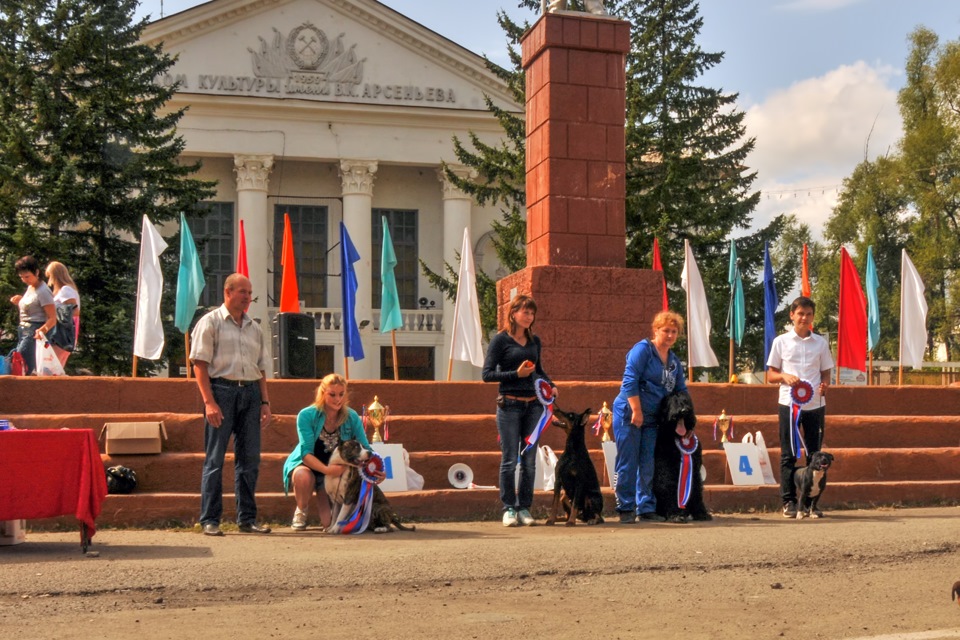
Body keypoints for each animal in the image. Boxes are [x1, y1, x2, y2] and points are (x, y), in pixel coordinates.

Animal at [652, 392, 712, 524]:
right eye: (671, 402)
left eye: (686, 400)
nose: (684, 411)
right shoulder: (667, 471)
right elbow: (670, 488)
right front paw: (676, 514)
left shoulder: (695, 471)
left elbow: (696, 489)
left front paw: (701, 513)